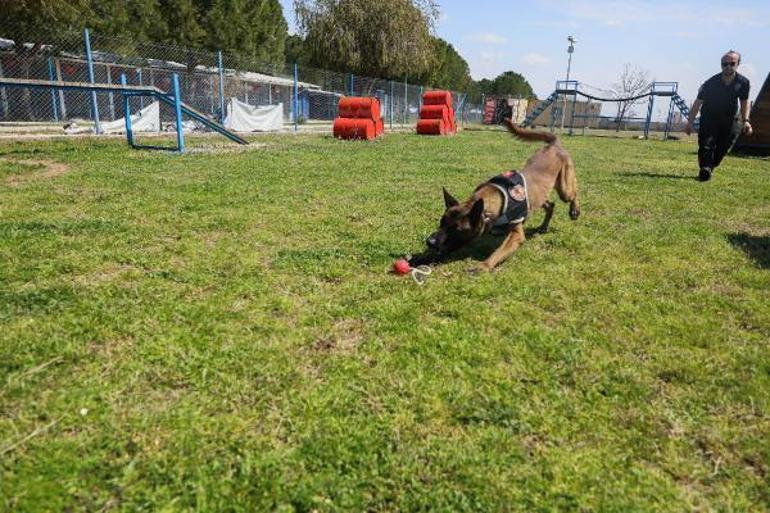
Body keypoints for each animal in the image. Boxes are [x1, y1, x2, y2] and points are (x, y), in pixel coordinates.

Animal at [412, 118, 580, 270]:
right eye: (441, 223)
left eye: (456, 229)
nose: (429, 242)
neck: (493, 199)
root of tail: (553, 145)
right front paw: (422, 258)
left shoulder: (516, 235)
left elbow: (499, 252)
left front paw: (484, 266)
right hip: (538, 196)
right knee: (550, 204)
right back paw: (544, 227)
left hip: (564, 189)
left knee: (574, 193)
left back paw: (574, 211)